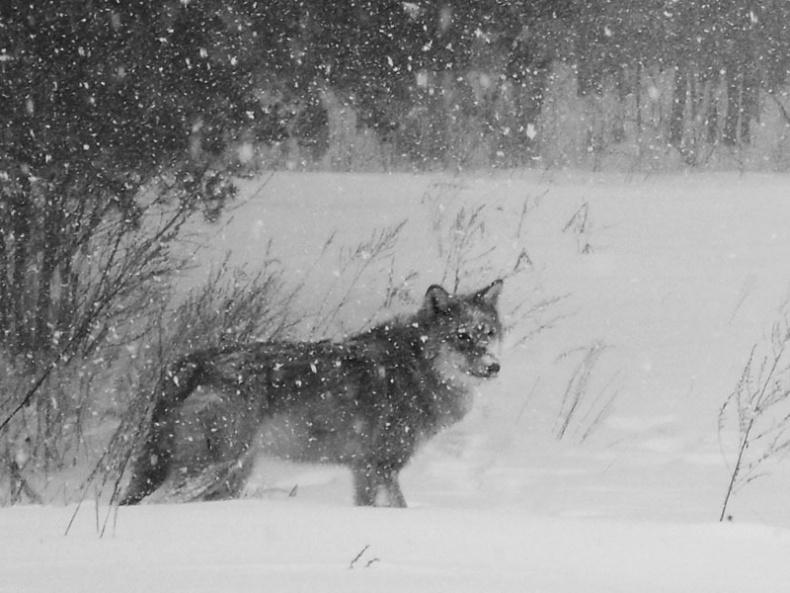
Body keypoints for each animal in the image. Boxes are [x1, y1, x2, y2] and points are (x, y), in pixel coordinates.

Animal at [120, 280, 504, 506]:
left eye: (488, 333)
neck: (416, 368)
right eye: (462, 336)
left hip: (231, 476)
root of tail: (186, 363)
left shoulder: (363, 470)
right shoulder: (382, 467)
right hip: (210, 469)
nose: (493, 366)